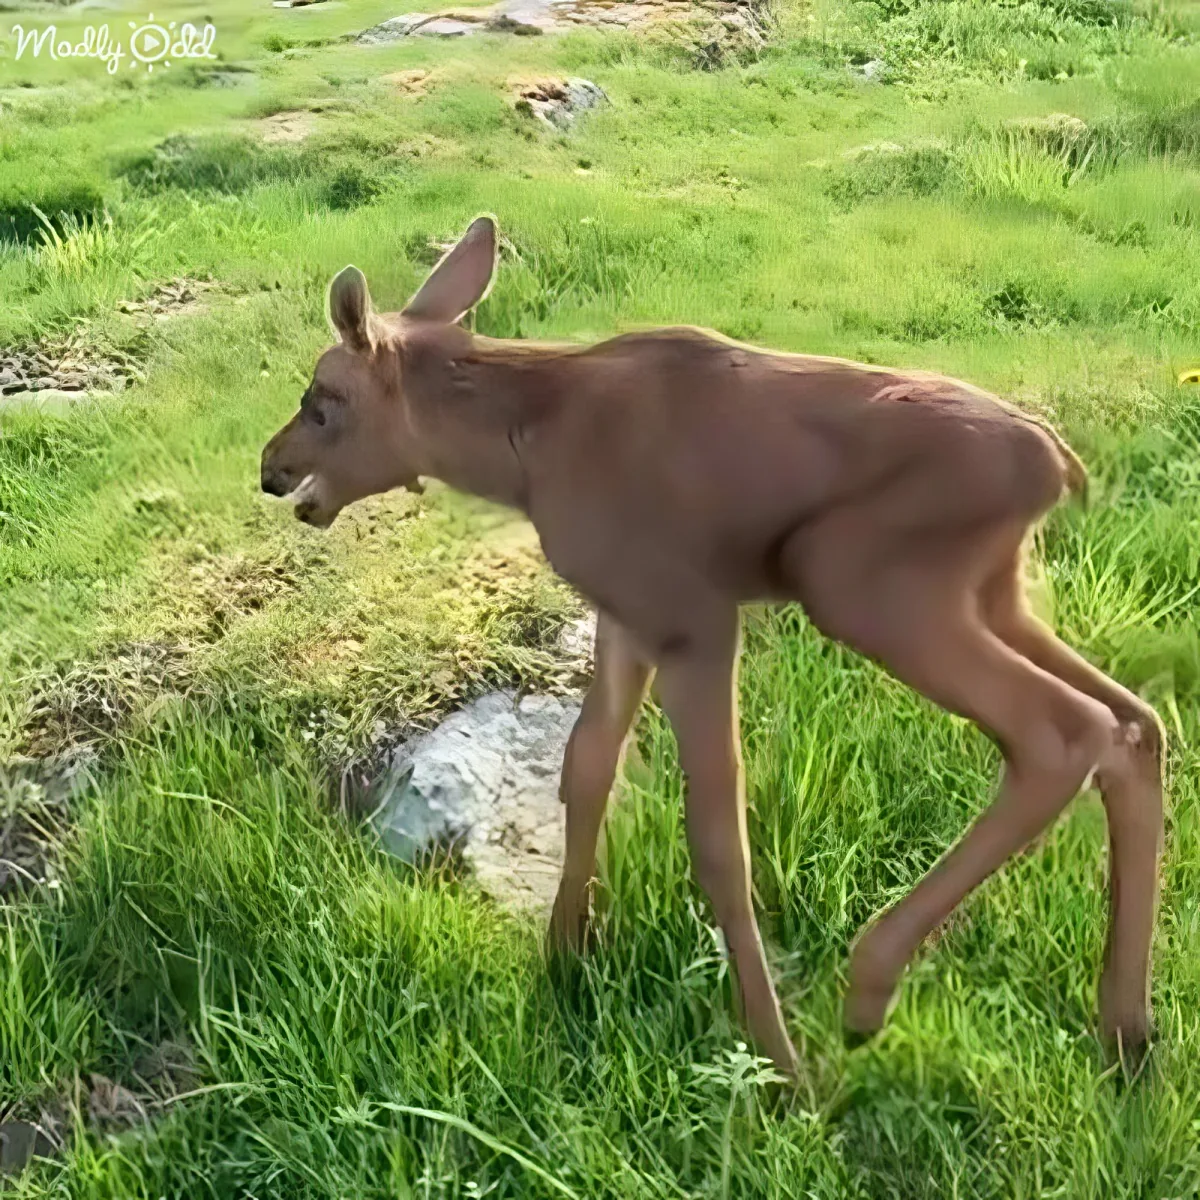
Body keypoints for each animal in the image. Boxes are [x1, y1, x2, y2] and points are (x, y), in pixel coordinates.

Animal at [260, 215, 1165, 1077]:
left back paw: (870, 986)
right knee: (1135, 722)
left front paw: (778, 1060)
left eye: (322, 399)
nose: (271, 467)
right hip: (989, 592)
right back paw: (1125, 1030)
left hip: (858, 580)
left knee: (1064, 731)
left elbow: (719, 836)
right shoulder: (626, 613)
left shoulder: (695, 616)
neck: (524, 452)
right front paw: (565, 953)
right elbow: (587, 768)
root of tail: (1061, 466)